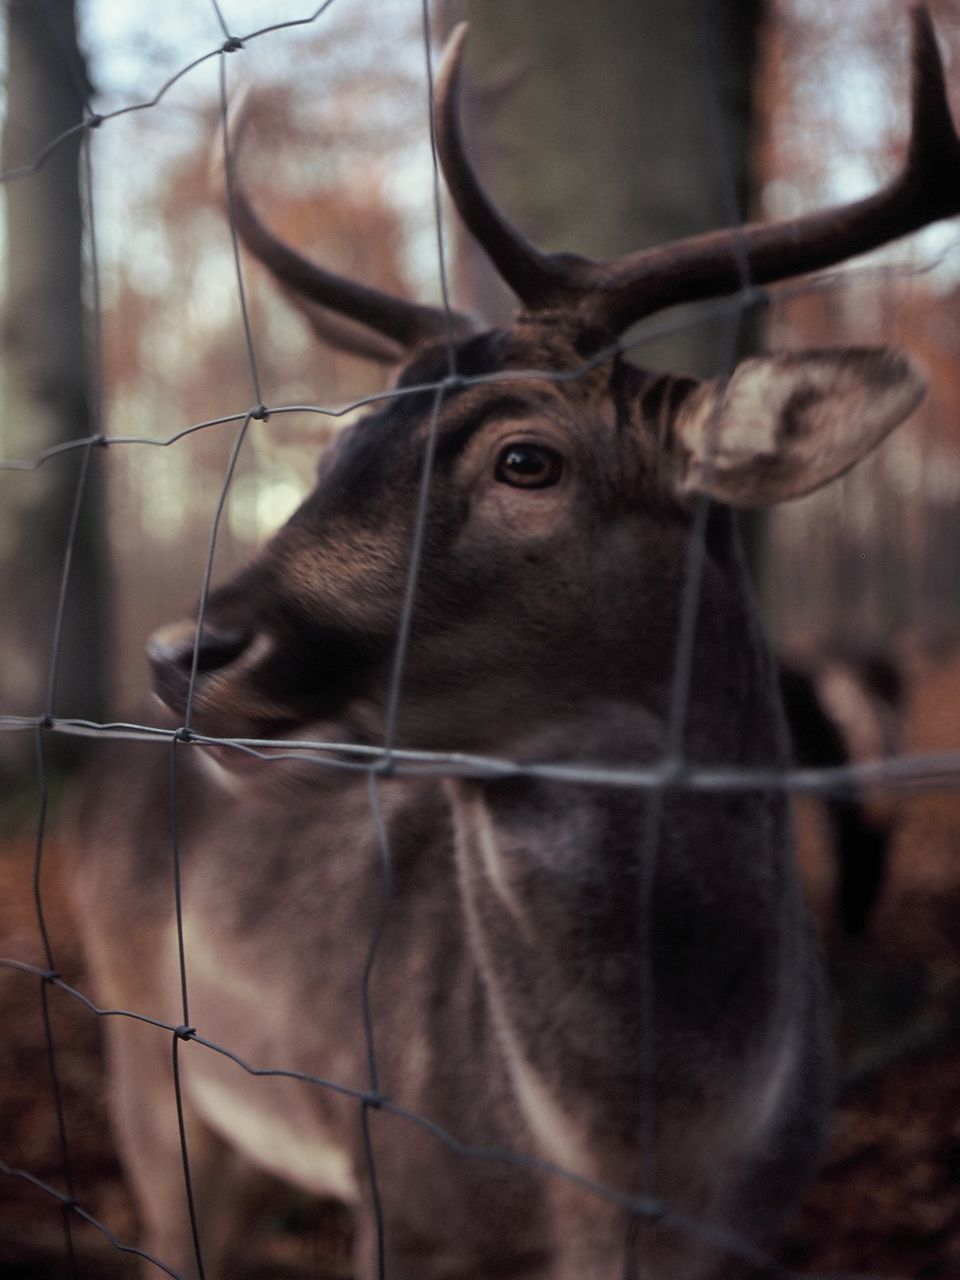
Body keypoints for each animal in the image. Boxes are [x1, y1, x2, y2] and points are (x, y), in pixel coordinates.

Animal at [71, 12, 960, 1280]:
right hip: (144, 1056)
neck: (625, 1184)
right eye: (339, 444)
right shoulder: (400, 1205)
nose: (183, 650)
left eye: (526, 458)